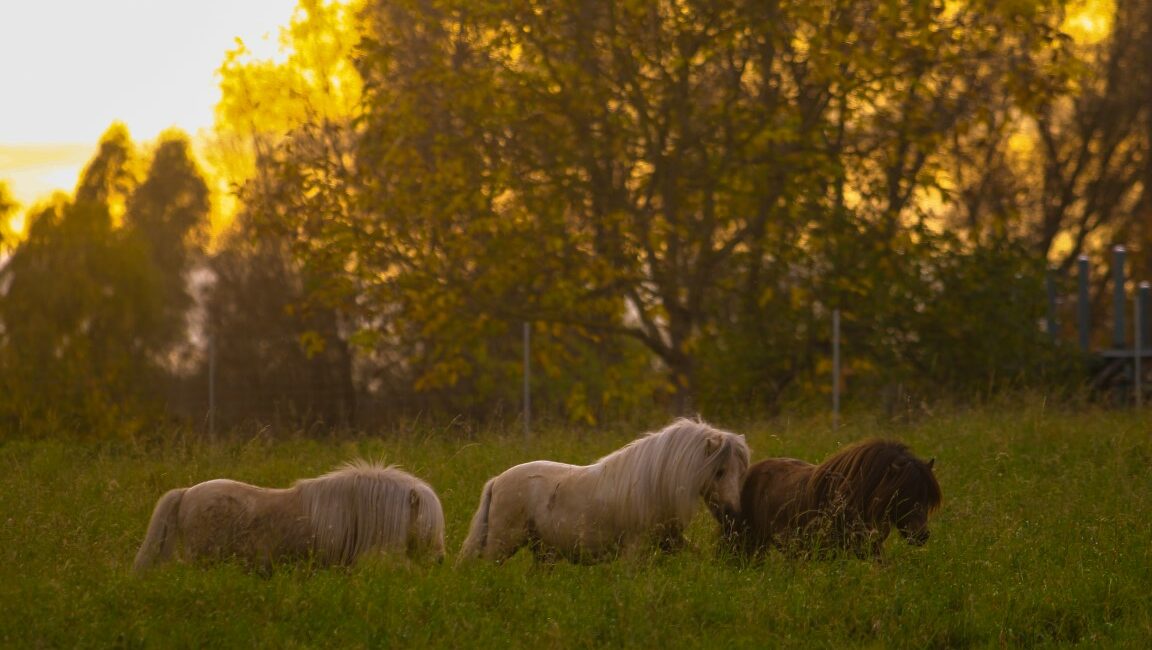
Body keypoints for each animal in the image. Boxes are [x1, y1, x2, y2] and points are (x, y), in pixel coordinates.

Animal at [456, 417, 746, 564]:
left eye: (740, 472)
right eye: (719, 471)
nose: (733, 511)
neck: (655, 484)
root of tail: (497, 481)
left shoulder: (671, 542)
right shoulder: (634, 550)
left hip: (543, 553)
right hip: (502, 545)